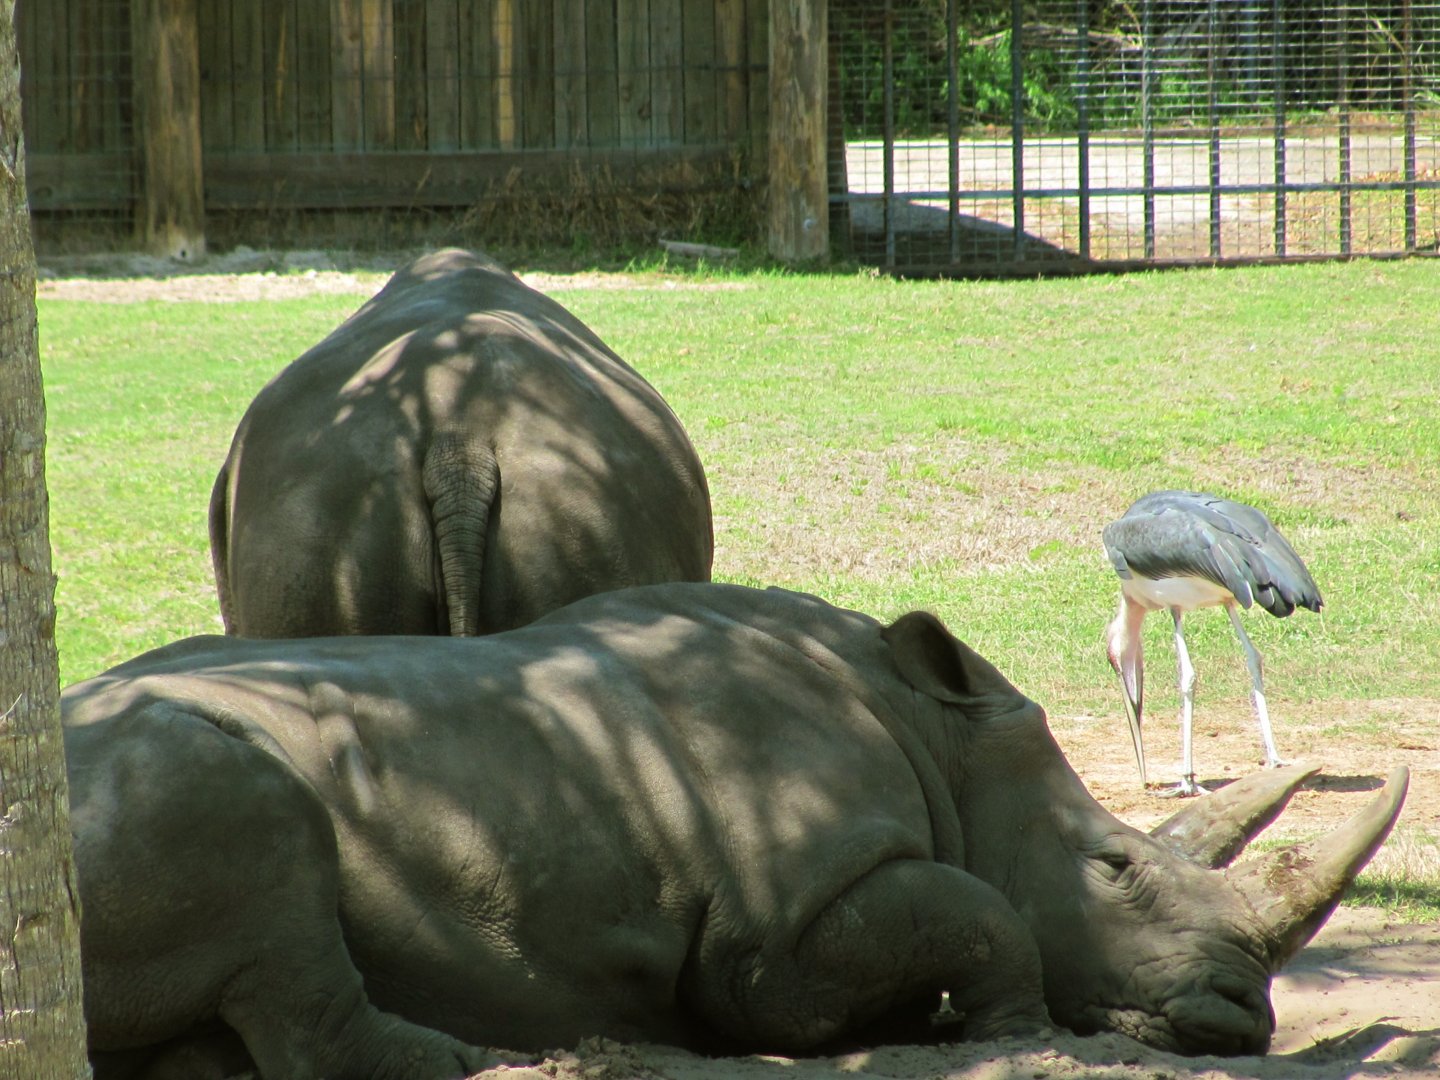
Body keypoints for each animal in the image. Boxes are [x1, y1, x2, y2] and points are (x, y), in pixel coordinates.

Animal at [63, 583, 1407, 1080]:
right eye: (1117, 868)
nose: (1243, 1014)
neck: (936, 732)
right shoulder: (773, 940)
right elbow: (980, 912)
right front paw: (1012, 1034)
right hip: (148, 775)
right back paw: (474, 1059)